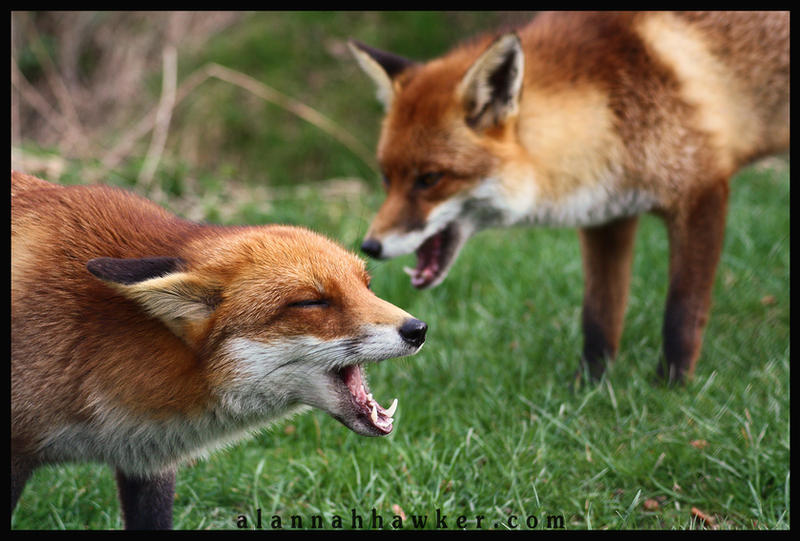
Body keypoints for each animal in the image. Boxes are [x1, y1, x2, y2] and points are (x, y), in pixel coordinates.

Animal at [349, 11, 789, 384]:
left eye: (430, 179)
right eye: (386, 178)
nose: (370, 246)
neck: (612, 114)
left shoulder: (702, 191)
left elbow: (682, 311)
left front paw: (671, 388)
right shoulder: (608, 215)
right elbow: (598, 316)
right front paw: (588, 387)